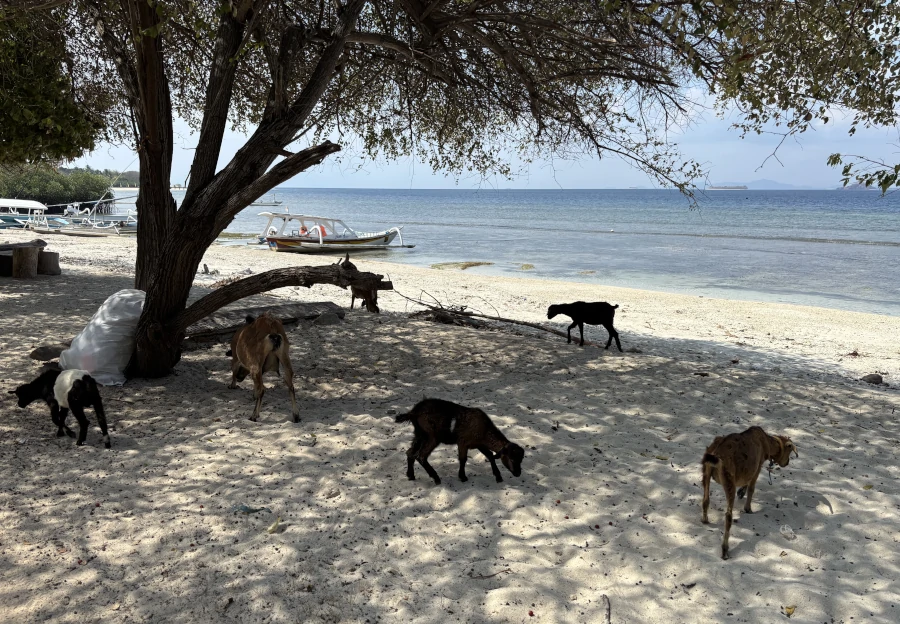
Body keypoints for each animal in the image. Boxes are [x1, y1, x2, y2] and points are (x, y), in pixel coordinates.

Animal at [395, 398, 525, 485]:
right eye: (512, 459)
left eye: (521, 459)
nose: (518, 473)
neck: (484, 429)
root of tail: (413, 412)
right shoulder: (463, 442)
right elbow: (463, 459)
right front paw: (462, 477)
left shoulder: (479, 444)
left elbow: (490, 456)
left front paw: (498, 477)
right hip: (432, 436)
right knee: (421, 456)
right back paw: (436, 478)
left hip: (419, 434)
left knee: (410, 452)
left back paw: (411, 475)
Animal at [701, 426, 798, 559]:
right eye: (789, 451)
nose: (787, 463)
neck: (766, 441)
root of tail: (716, 453)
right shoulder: (757, 467)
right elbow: (751, 487)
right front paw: (748, 508)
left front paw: (741, 492)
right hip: (729, 478)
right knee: (728, 516)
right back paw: (725, 550)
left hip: (706, 471)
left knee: (705, 500)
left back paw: (705, 520)